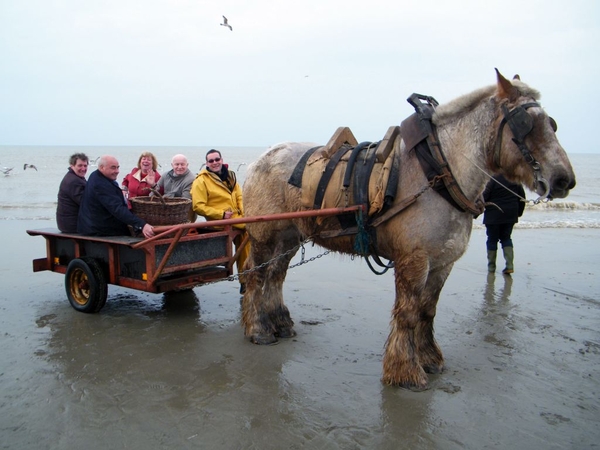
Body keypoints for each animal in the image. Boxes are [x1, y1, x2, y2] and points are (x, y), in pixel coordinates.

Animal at [239, 70, 576, 390]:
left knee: (276, 276)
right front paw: (405, 372)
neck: (437, 172)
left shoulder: (441, 263)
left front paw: (429, 358)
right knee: (256, 276)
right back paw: (258, 328)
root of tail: (259, 159)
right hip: (264, 236)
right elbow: (408, 313)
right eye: (525, 124)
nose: (564, 180)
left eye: (551, 123)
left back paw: (279, 322)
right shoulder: (413, 261)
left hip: (288, 237)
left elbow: (427, 311)